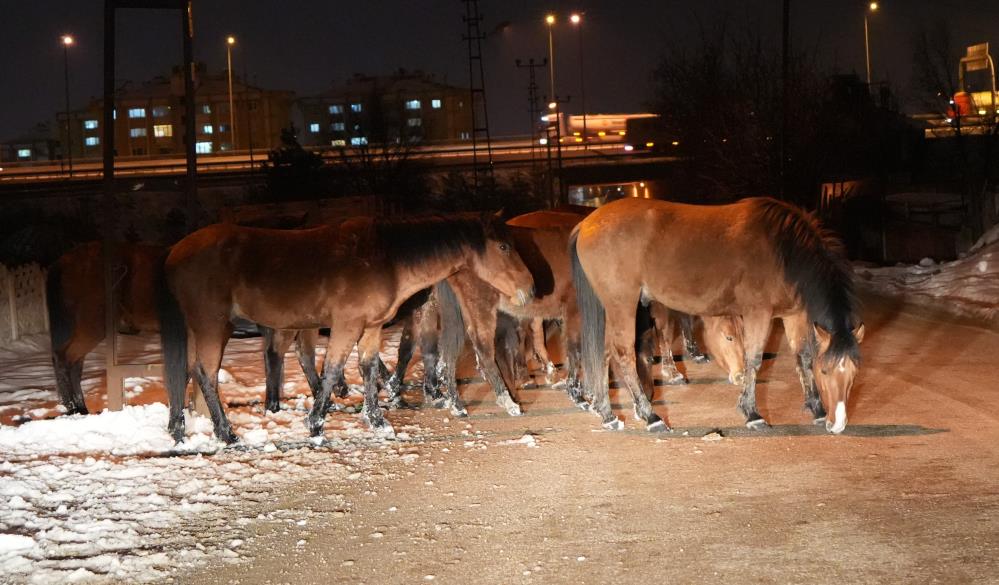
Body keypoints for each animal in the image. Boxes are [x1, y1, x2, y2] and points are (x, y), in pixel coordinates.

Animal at [160, 213, 536, 442]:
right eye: (504, 246)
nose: (530, 287)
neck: (386, 259)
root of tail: (175, 252)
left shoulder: (370, 328)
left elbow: (367, 369)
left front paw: (377, 421)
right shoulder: (346, 325)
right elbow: (332, 370)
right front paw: (315, 424)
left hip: (200, 329)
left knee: (188, 374)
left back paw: (181, 429)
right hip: (214, 327)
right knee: (206, 373)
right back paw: (226, 433)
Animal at [576, 198, 864, 432]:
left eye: (853, 373)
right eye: (825, 371)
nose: (838, 424)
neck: (784, 250)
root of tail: (585, 225)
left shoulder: (794, 315)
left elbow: (802, 358)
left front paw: (816, 408)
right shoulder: (758, 313)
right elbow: (753, 360)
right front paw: (752, 413)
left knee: (603, 353)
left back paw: (608, 414)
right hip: (623, 305)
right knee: (623, 354)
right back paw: (651, 416)